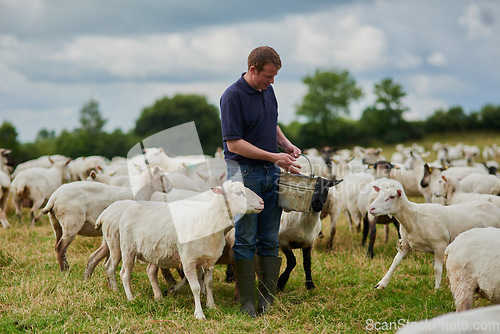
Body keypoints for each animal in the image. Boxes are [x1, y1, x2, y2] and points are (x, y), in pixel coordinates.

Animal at [41, 165, 170, 272]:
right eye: (162, 176)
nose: (171, 187)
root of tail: (54, 197)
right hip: (71, 222)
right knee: (61, 247)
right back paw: (65, 270)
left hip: (56, 224)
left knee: (57, 246)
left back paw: (64, 267)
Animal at [97, 181, 262, 320]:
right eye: (239, 192)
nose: (262, 202)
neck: (207, 220)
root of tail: (128, 207)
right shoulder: (188, 260)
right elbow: (195, 287)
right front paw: (199, 314)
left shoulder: (209, 261)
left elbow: (208, 284)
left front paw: (211, 306)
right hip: (127, 248)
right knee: (124, 273)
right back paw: (129, 298)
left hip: (154, 253)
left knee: (150, 271)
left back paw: (158, 296)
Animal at [366, 180, 500, 290]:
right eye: (378, 195)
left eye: (392, 197)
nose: (371, 208)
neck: (414, 218)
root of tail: (493, 208)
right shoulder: (406, 245)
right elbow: (395, 261)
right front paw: (382, 284)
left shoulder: (439, 245)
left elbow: (437, 269)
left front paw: (437, 289)